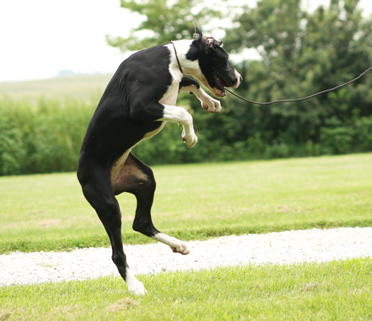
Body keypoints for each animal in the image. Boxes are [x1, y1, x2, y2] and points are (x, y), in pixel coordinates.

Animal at [77, 23, 243, 296]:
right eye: (225, 58)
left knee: (142, 223)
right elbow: (184, 112)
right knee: (117, 253)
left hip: (145, 180)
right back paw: (135, 287)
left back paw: (178, 245)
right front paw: (190, 136)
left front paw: (210, 102)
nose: (239, 79)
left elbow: (192, 82)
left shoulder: (176, 83)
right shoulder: (140, 107)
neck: (172, 60)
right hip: (107, 204)